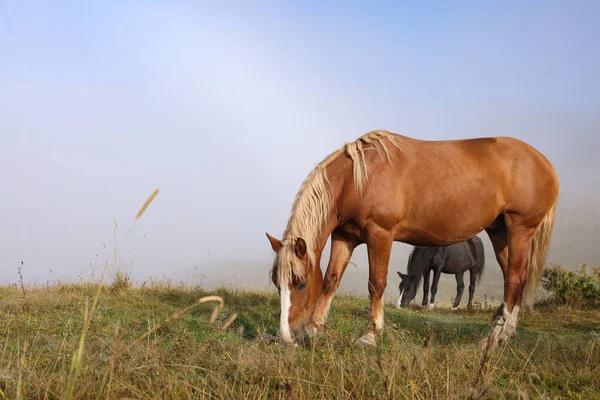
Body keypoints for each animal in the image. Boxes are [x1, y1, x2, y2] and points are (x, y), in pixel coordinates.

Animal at [266, 130, 556, 348]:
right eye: (277, 283)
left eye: (301, 284)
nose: (286, 337)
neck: (358, 179)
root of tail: (545, 164)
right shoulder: (344, 237)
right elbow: (331, 281)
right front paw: (314, 329)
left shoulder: (380, 235)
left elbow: (376, 284)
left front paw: (371, 335)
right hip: (500, 234)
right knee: (515, 279)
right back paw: (506, 334)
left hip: (519, 229)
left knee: (515, 280)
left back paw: (492, 339)